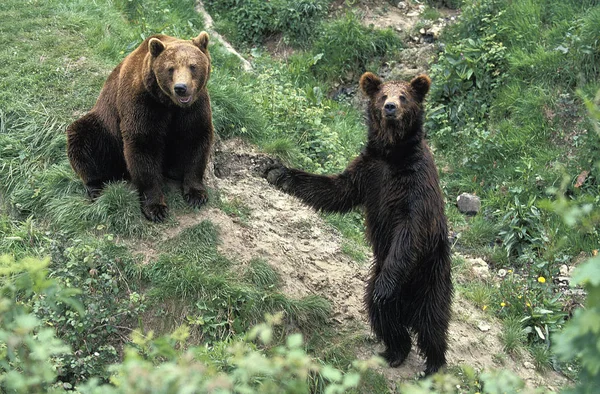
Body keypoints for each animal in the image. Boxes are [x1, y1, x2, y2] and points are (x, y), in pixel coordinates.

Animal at [66, 30, 213, 222]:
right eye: (170, 68)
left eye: (192, 66)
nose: (181, 87)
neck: (169, 103)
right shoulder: (143, 103)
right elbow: (143, 146)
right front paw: (156, 207)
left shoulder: (194, 107)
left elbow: (196, 139)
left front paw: (196, 194)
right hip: (104, 130)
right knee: (82, 138)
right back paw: (96, 187)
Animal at [264, 71, 452, 376]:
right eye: (383, 95)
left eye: (403, 96)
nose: (390, 107)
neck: (392, 154)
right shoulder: (368, 173)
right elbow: (335, 189)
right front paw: (277, 172)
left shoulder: (415, 185)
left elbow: (409, 230)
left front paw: (386, 286)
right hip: (380, 275)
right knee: (380, 312)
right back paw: (394, 351)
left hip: (429, 272)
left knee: (431, 320)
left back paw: (433, 365)